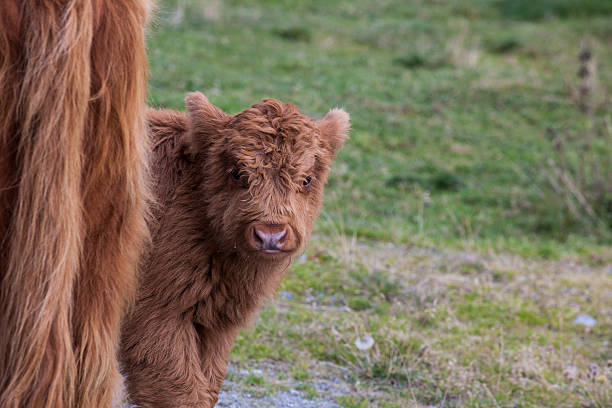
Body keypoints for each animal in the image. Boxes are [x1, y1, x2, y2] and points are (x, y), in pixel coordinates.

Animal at [119, 93, 350, 408]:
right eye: (237, 172)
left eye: (306, 179)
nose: (270, 234)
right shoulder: (154, 315)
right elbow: (181, 391)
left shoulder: (217, 325)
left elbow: (208, 385)